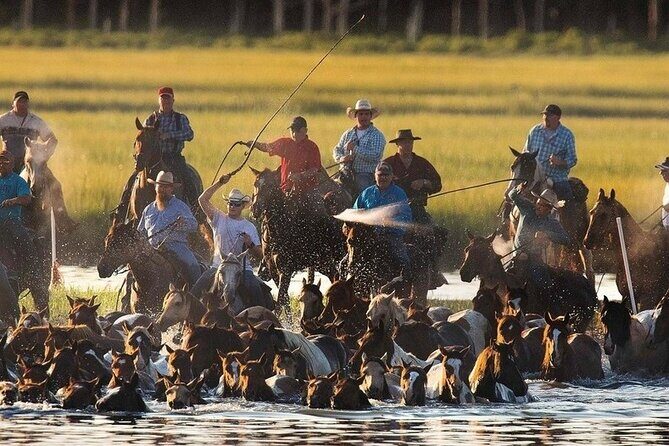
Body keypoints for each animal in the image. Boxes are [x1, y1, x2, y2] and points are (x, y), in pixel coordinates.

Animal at [250, 166, 346, 314]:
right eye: (255, 184)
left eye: (270, 185)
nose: (255, 208)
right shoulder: (274, 270)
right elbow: (284, 301)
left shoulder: (286, 269)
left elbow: (280, 301)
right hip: (321, 262)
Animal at [502, 147, 594, 282]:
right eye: (513, 167)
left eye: (528, 167)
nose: (508, 194)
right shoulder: (515, 236)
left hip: (580, 241)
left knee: (587, 268)